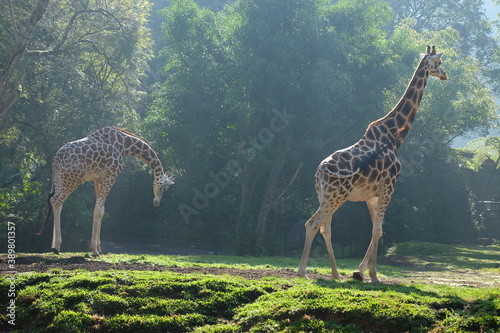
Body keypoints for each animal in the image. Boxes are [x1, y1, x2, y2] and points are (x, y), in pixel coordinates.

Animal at [37, 126, 175, 255]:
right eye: (163, 187)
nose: (156, 202)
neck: (124, 145)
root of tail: (56, 158)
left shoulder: (98, 179)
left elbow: (101, 210)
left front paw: (99, 248)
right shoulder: (110, 175)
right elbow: (98, 210)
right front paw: (94, 250)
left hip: (59, 179)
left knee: (54, 202)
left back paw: (53, 246)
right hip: (72, 179)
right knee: (56, 201)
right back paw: (57, 247)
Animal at [298, 45, 448, 282]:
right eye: (439, 63)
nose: (445, 75)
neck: (394, 137)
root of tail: (320, 171)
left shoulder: (372, 194)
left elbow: (375, 229)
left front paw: (359, 272)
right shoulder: (389, 186)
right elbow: (378, 229)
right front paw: (374, 275)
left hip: (324, 195)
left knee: (325, 228)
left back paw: (336, 275)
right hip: (336, 196)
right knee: (312, 223)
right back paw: (302, 272)